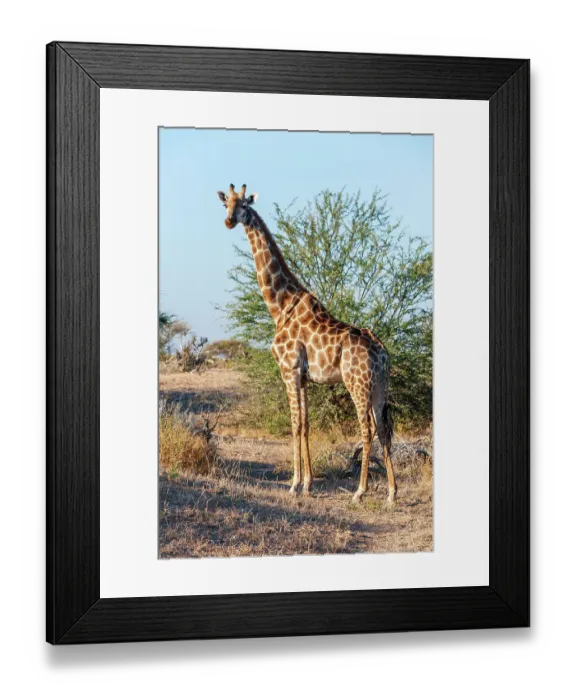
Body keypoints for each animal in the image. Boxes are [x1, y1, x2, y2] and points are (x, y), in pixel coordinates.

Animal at [217, 184, 397, 503]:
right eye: (226, 204)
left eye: (244, 206)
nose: (228, 221)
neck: (280, 306)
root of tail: (383, 353)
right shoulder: (303, 377)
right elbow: (306, 424)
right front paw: (308, 483)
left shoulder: (288, 371)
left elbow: (294, 424)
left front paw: (294, 484)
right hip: (380, 386)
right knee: (384, 427)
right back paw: (391, 493)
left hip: (357, 383)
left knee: (367, 429)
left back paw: (360, 491)